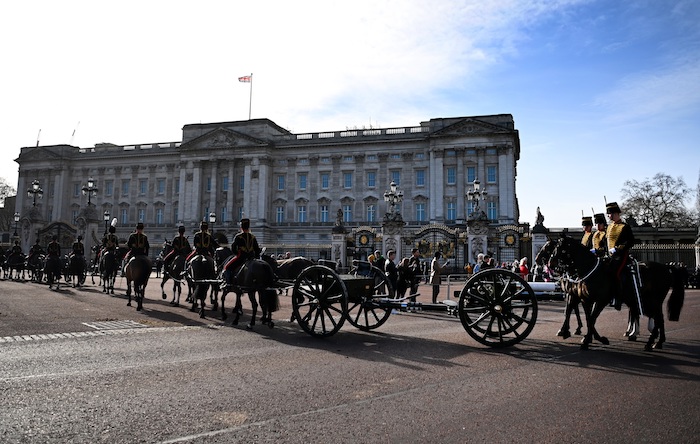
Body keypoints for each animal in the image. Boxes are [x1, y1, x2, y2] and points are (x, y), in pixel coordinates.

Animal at [548, 236, 684, 350]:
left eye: (559, 248)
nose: (550, 264)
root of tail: (666, 267)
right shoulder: (584, 299)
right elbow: (587, 318)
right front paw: (590, 337)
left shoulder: (600, 300)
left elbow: (590, 318)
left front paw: (588, 339)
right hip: (649, 300)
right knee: (657, 318)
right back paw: (656, 342)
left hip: (654, 300)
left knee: (657, 318)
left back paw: (650, 342)